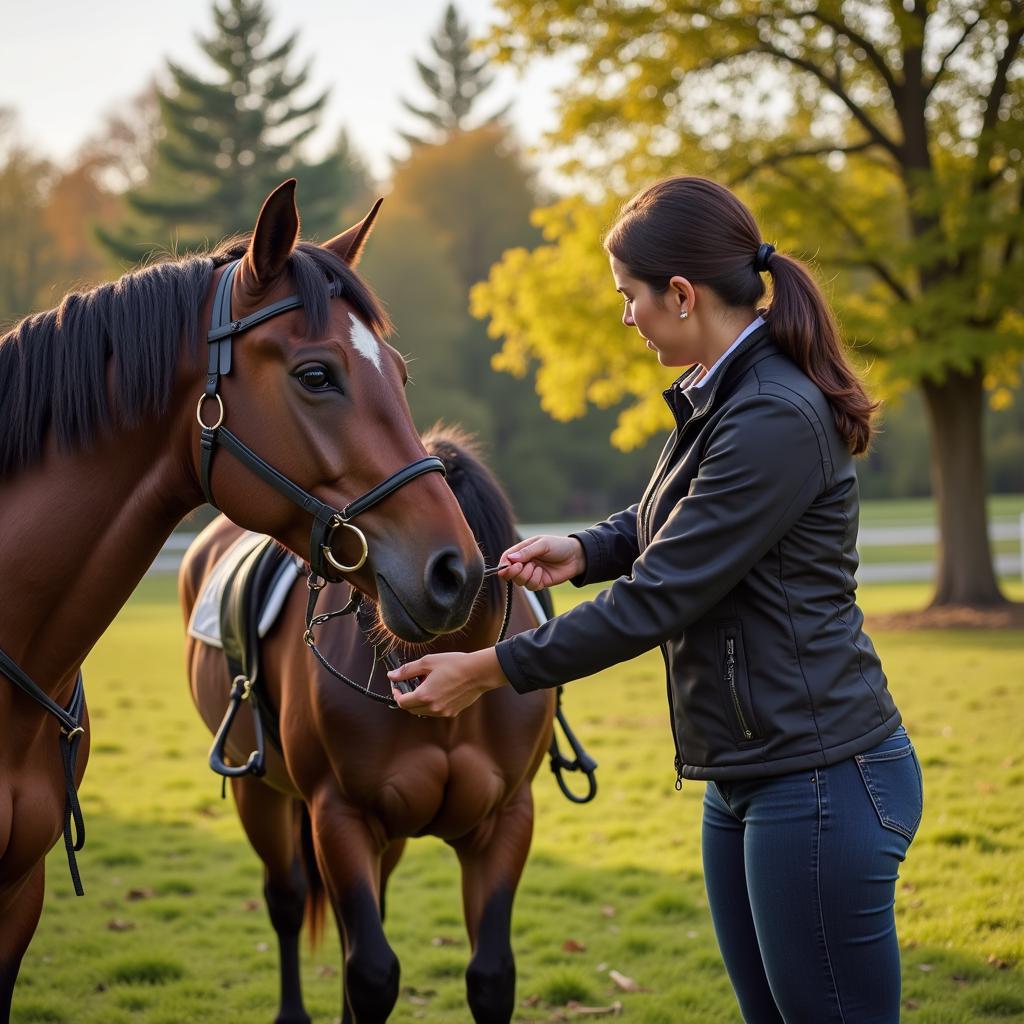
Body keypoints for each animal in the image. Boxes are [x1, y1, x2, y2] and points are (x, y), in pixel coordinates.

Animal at [180, 425, 557, 1024]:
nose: (447, 573)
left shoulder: (506, 818)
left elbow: (492, 976)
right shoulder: (341, 814)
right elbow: (373, 973)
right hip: (259, 791)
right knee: (287, 900)